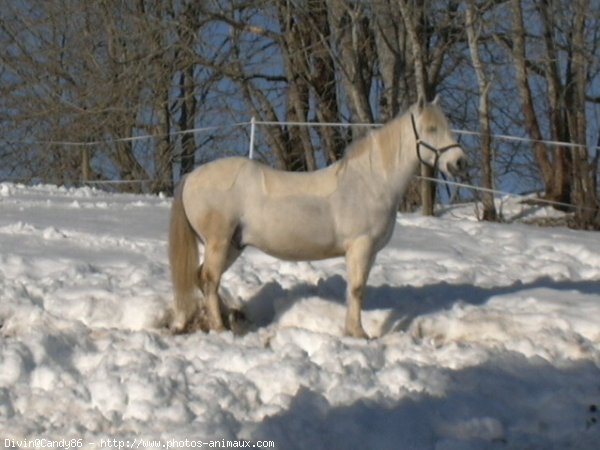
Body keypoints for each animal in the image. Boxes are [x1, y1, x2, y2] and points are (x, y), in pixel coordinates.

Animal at [169, 97, 468, 338]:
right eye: (431, 129)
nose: (459, 162)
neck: (370, 182)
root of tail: (192, 176)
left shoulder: (370, 252)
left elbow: (358, 289)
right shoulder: (360, 246)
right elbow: (356, 289)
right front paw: (358, 333)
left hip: (233, 245)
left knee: (203, 278)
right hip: (218, 242)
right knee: (209, 279)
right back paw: (220, 327)